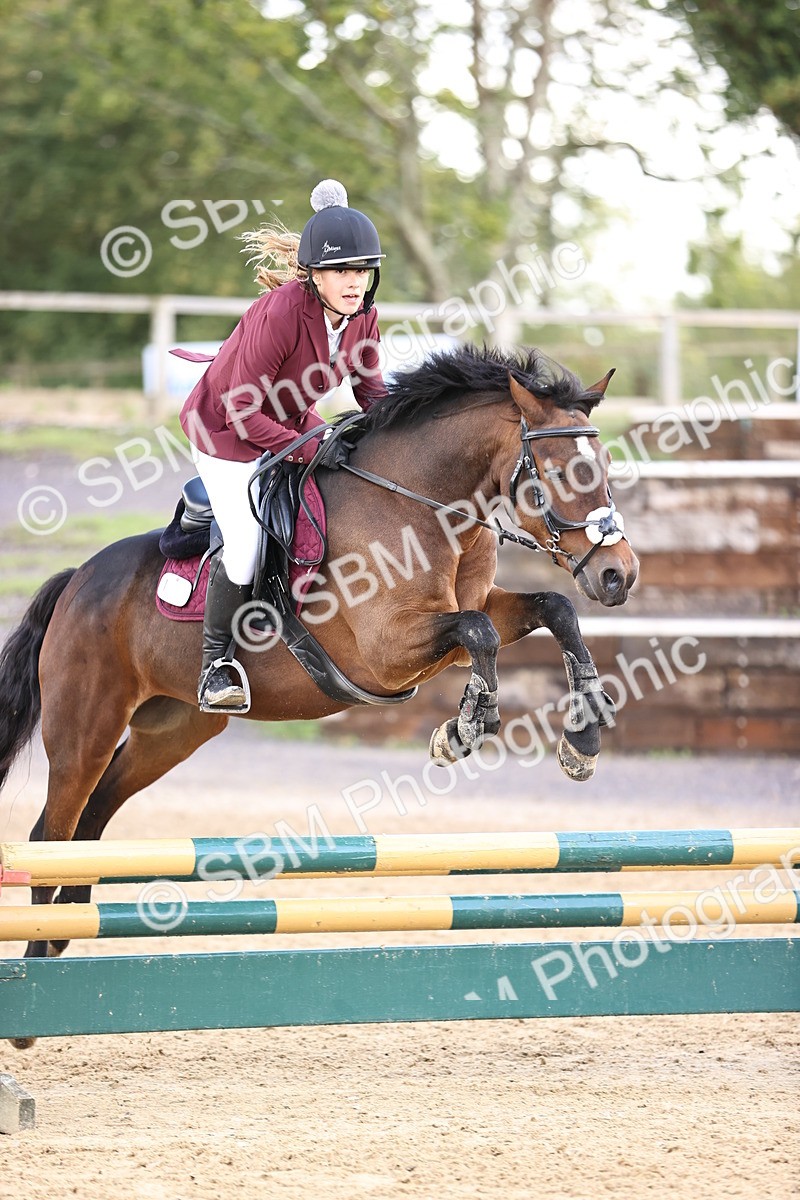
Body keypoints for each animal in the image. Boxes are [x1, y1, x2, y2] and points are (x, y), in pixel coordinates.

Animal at [0, 344, 639, 991]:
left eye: (606, 464)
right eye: (562, 472)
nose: (619, 574)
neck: (417, 504)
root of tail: (75, 581)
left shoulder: (469, 613)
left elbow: (552, 610)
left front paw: (582, 740)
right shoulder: (389, 649)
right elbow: (479, 632)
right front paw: (465, 727)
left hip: (171, 730)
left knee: (91, 821)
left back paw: (68, 925)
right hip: (84, 731)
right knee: (48, 834)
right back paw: (39, 964)